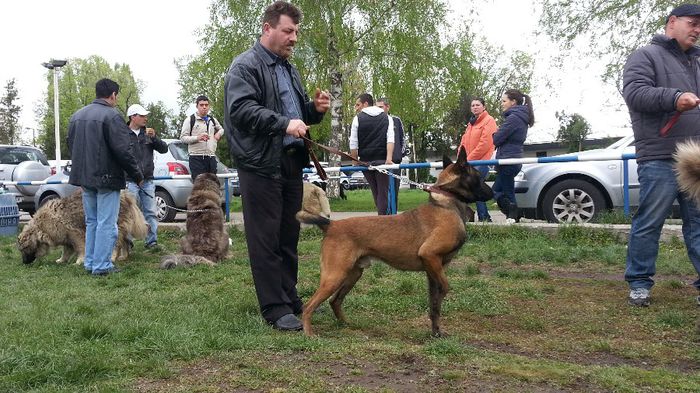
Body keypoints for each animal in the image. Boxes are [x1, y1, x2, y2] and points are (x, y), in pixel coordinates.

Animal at [298, 149, 494, 336]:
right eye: (478, 176)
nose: (492, 192)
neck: (446, 203)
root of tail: (332, 225)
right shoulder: (430, 257)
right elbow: (444, 289)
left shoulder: (432, 270)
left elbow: (434, 306)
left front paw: (436, 332)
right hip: (334, 276)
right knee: (308, 306)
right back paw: (309, 334)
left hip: (353, 274)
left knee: (335, 301)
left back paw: (346, 324)